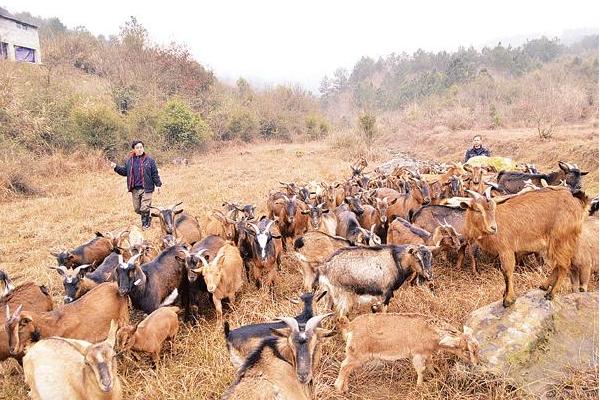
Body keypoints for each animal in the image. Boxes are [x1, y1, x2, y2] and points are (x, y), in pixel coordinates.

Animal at [332, 312, 478, 390]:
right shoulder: (417, 354)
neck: (430, 332)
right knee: (344, 366)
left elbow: (430, 364)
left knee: (347, 368)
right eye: (466, 350)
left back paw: (345, 388)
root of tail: (350, 325)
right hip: (356, 354)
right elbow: (421, 369)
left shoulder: (427, 353)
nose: (475, 364)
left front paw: (437, 375)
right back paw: (338, 387)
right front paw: (419, 386)